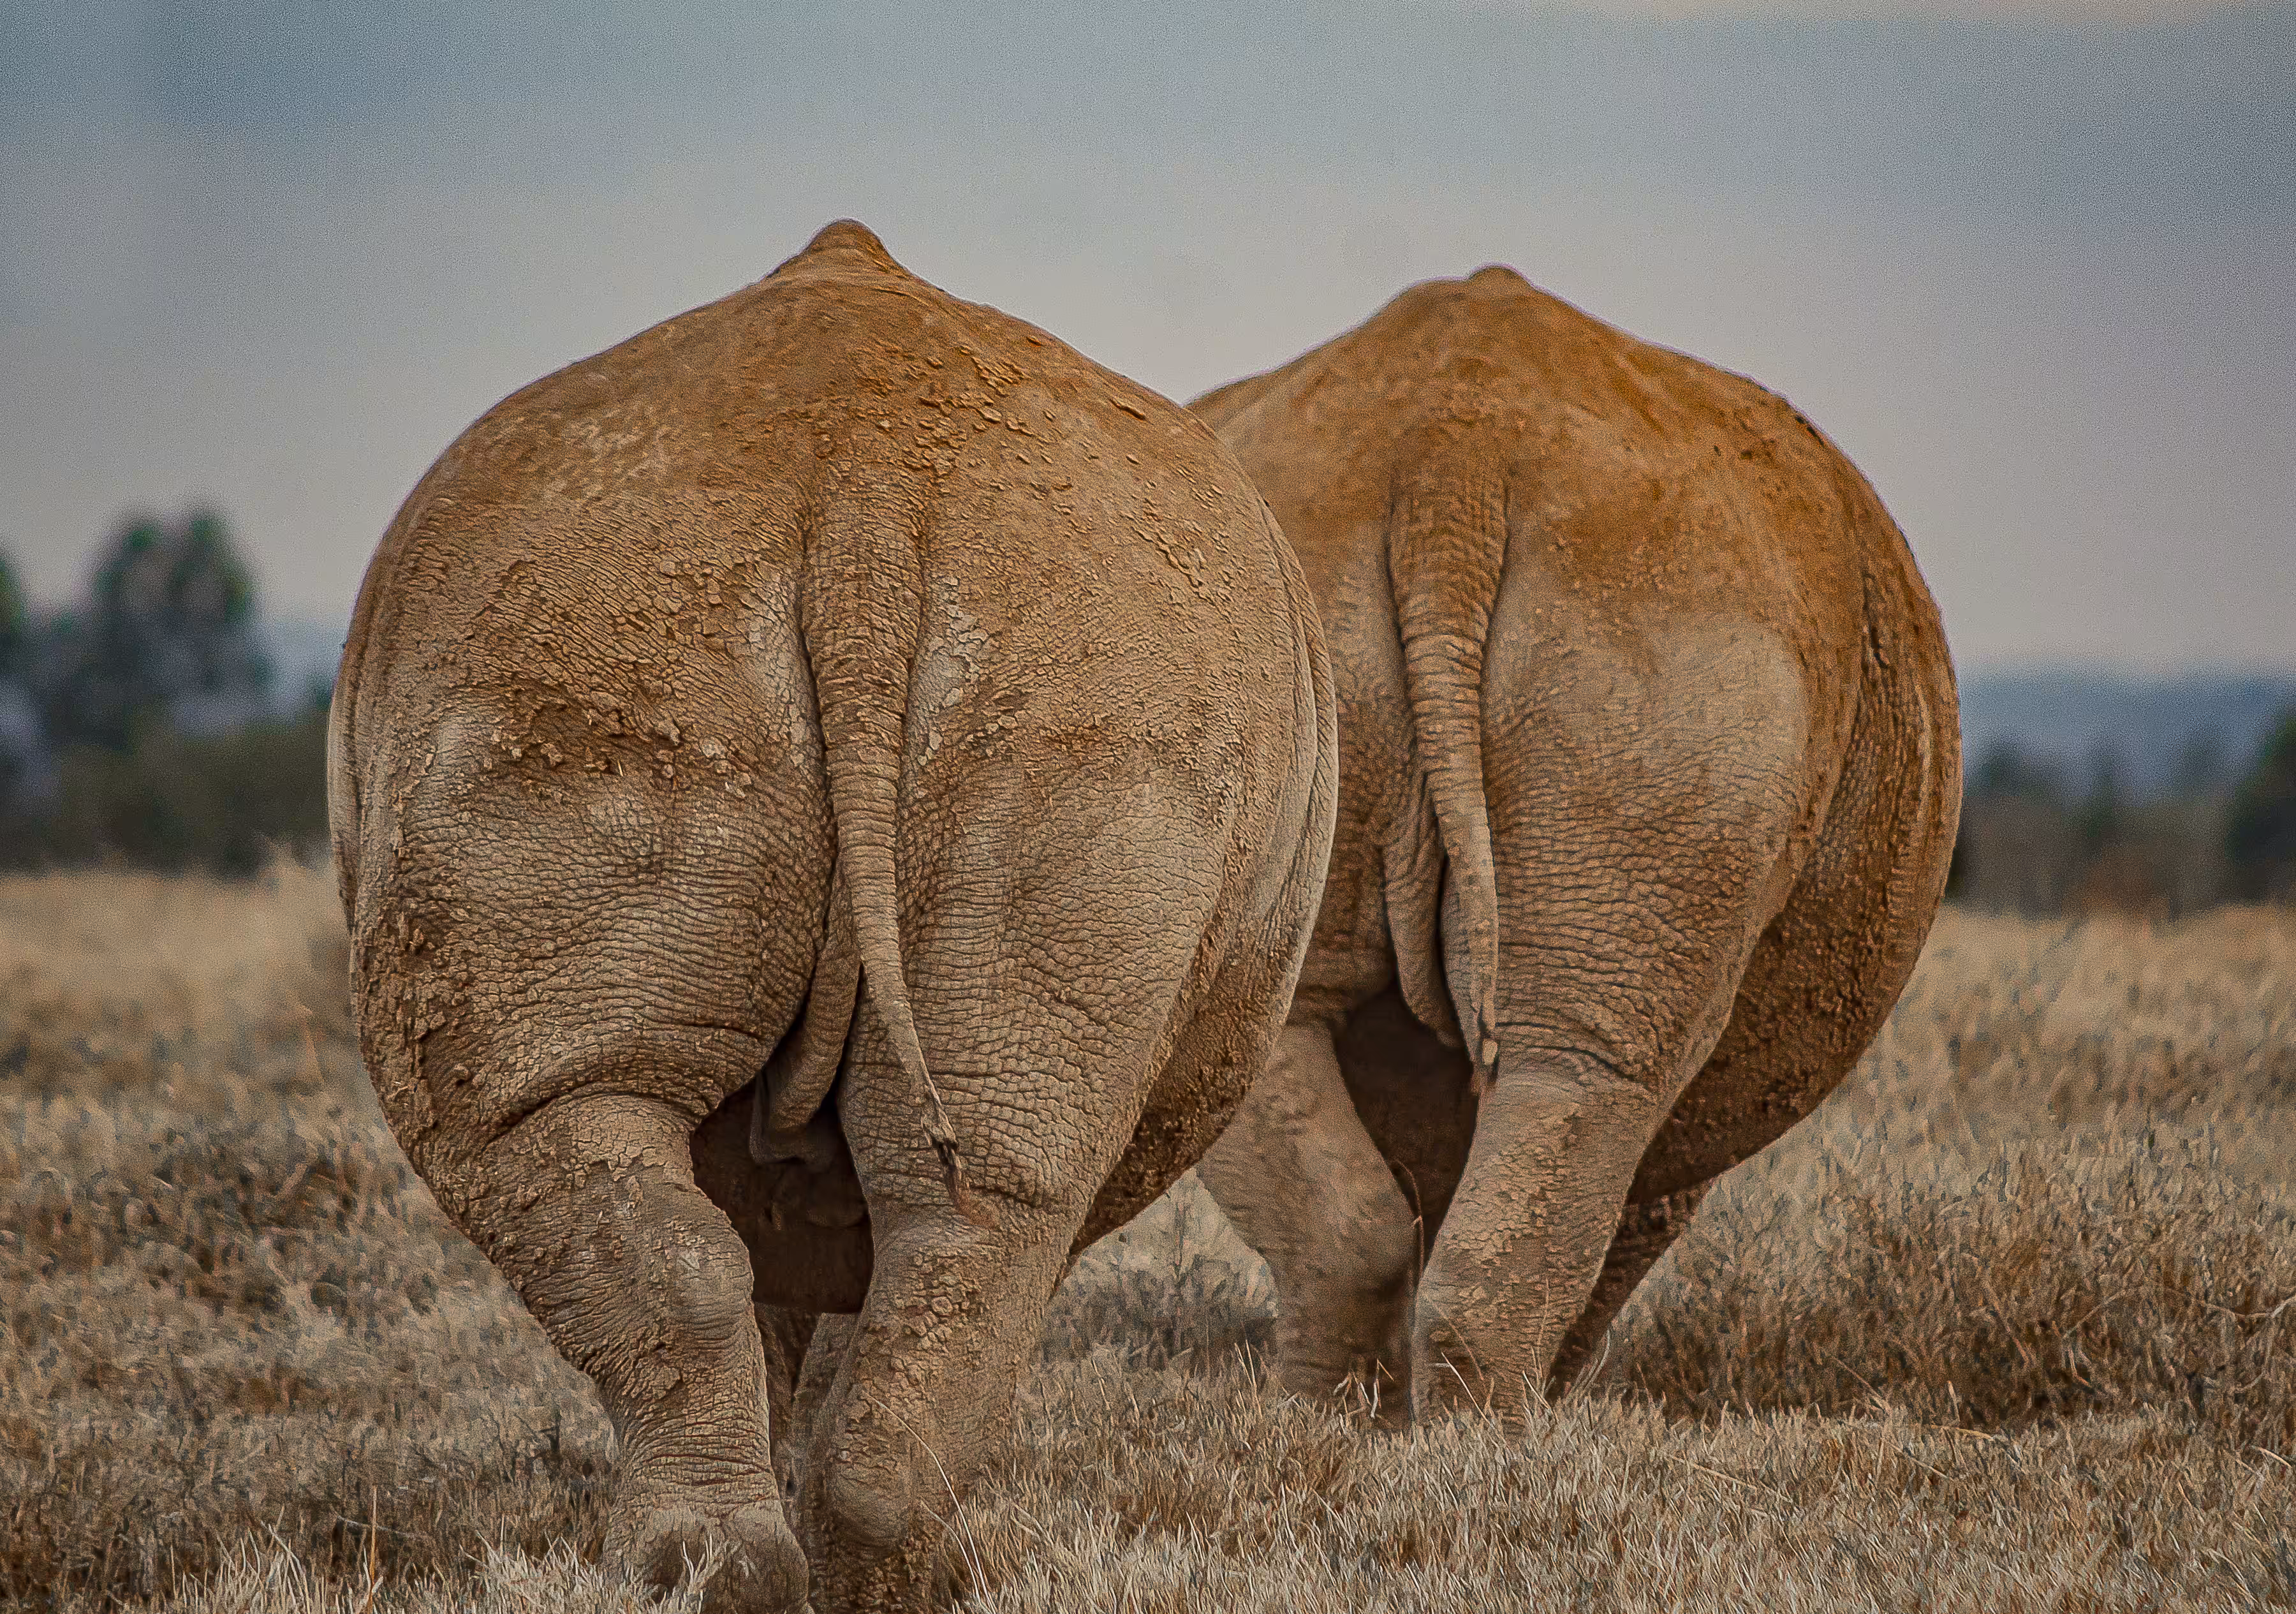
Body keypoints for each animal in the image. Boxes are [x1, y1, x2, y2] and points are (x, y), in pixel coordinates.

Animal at [327, 220, 1337, 1610]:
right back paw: (851, 1569)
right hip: (1077, 675)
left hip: (602, 642)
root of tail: (864, 491)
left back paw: (746, 1572)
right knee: (971, 1199)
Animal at [1185, 263, 1960, 1422]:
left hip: (1295, 601)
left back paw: (1320, 1429)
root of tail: (1448, 461)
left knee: (1289, 1029)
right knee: (1589, 1073)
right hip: (1673, 626)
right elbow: (1620, 1232)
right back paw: (1485, 1444)